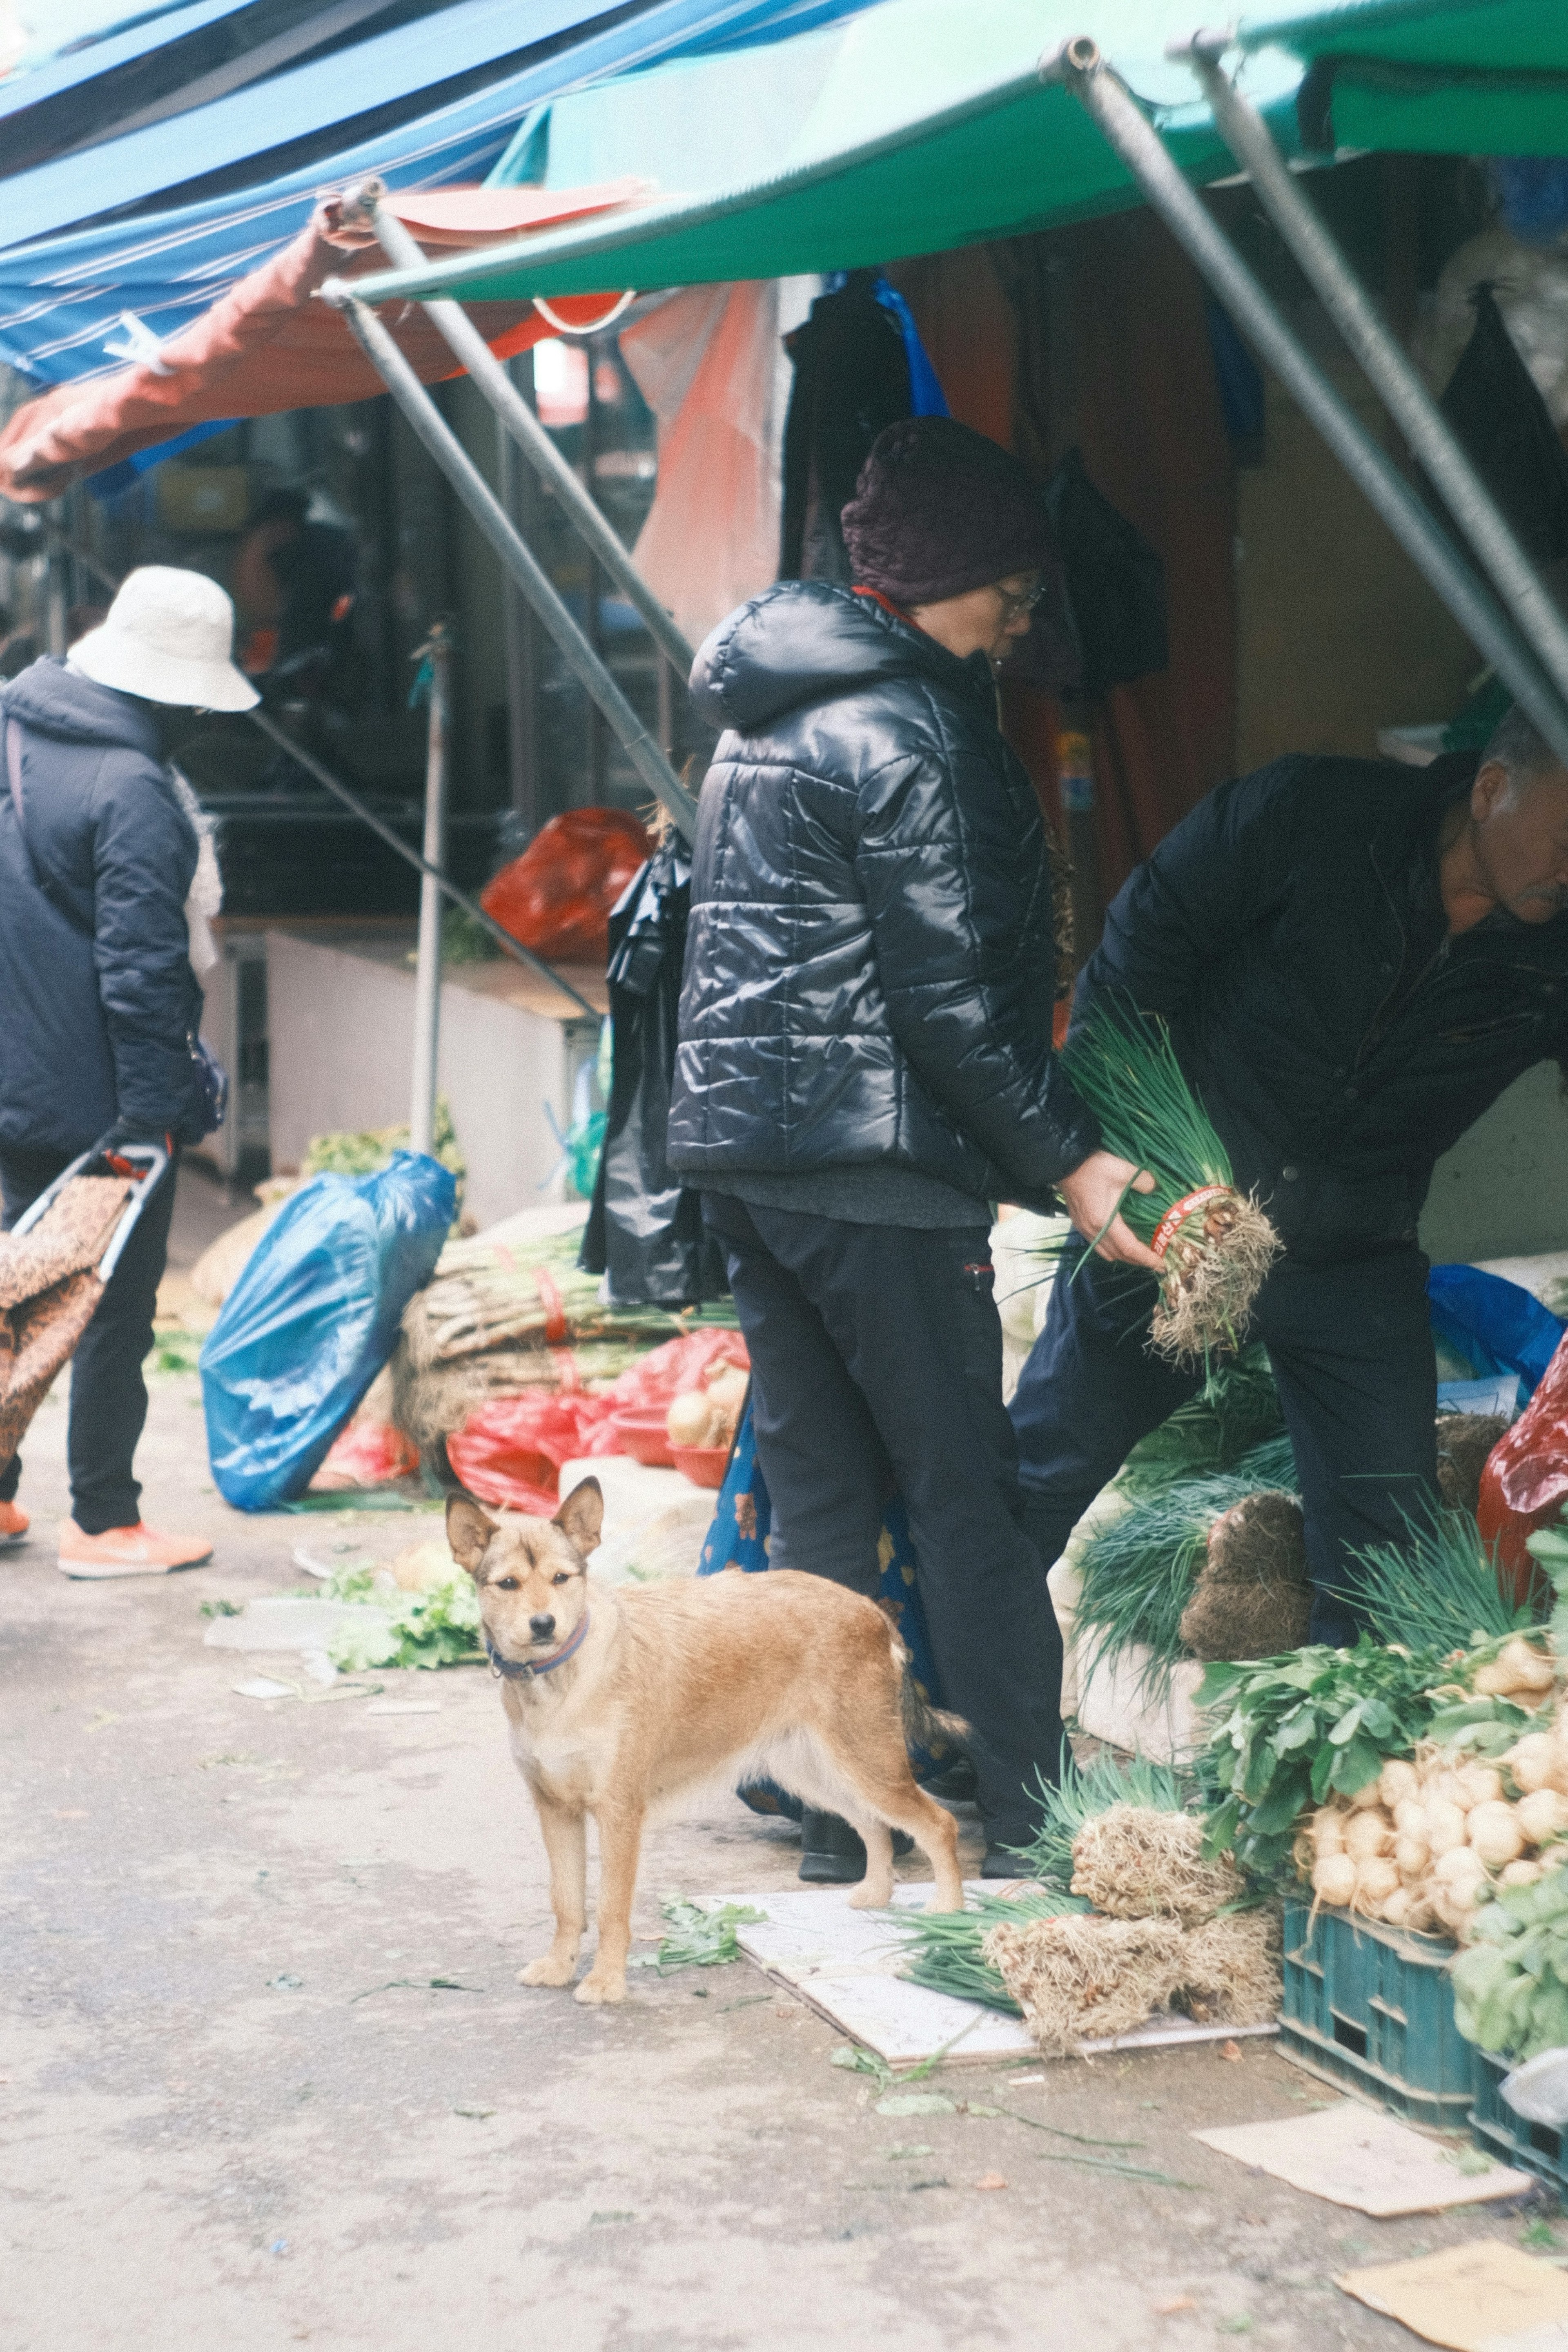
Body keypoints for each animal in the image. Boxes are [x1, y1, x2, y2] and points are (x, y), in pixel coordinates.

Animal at [446, 1477, 973, 1994]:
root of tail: (871, 1609)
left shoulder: (619, 1814)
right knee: (873, 1825)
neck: (561, 1680)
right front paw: (560, 1966)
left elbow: (611, 1908)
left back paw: (949, 1913)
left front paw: (606, 1981)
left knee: (938, 1823)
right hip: (821, 1775)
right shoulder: (557, 1812)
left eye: (561, 1578)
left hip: (868, 1765)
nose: (543, 1624)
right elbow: (566, 1902)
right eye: (508, 1583)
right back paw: (877, 1894)